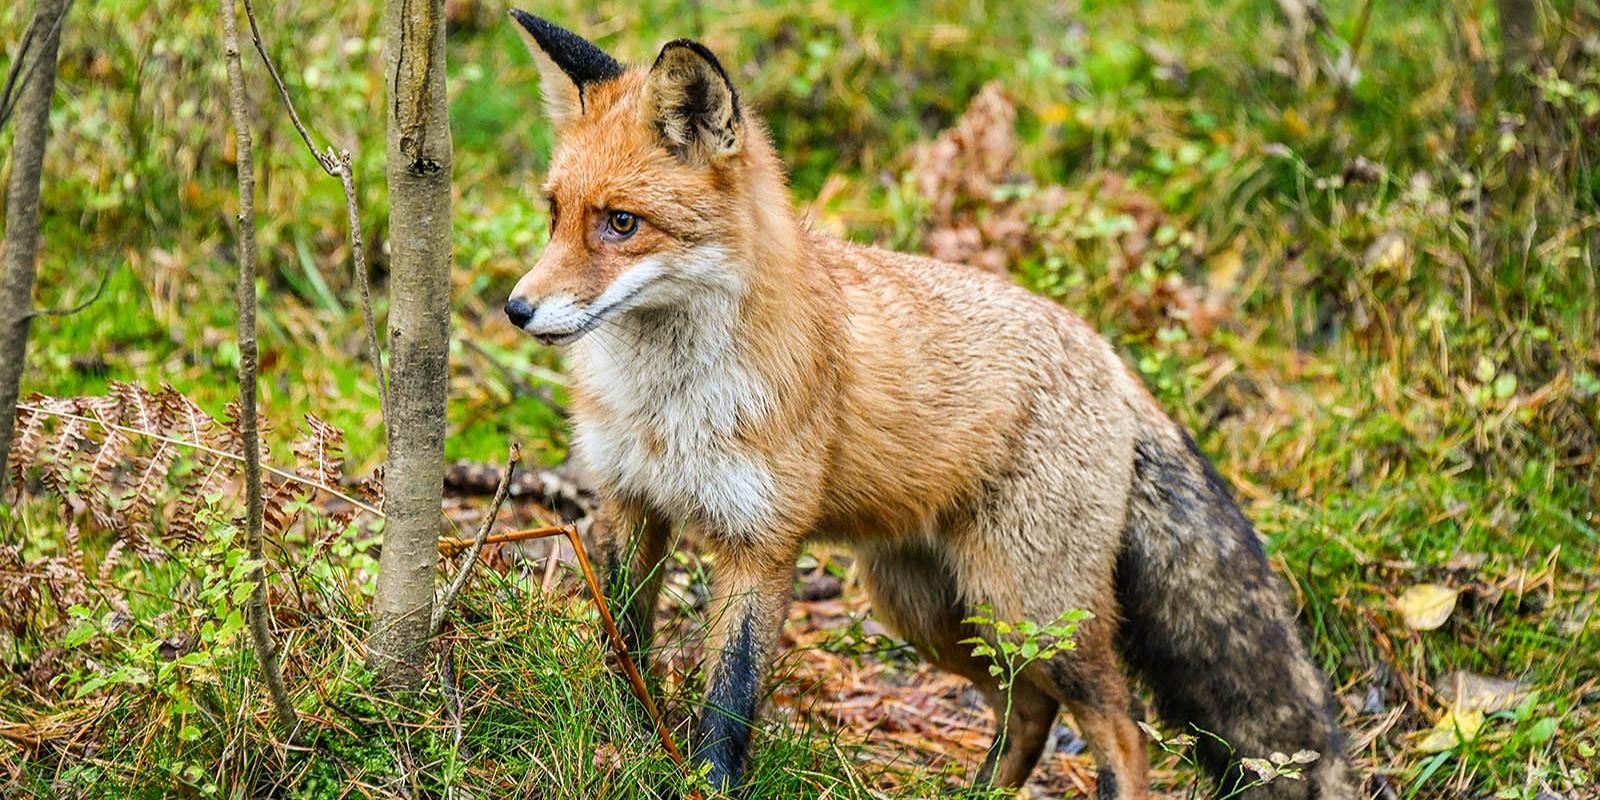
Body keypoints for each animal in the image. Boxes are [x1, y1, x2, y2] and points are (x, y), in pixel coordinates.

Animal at [501, 11, 1359, 800]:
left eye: (621, 224)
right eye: (553, 214)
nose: (516, 309)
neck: (668, 408)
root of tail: (1109, 355)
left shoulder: (760, 543)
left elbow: (731, 702)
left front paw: (704, 782)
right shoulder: (630, 503)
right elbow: (623, 645)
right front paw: (620, 740)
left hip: (1029, 610)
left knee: (1122, 723)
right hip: (927, 608)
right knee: (1027, 711)